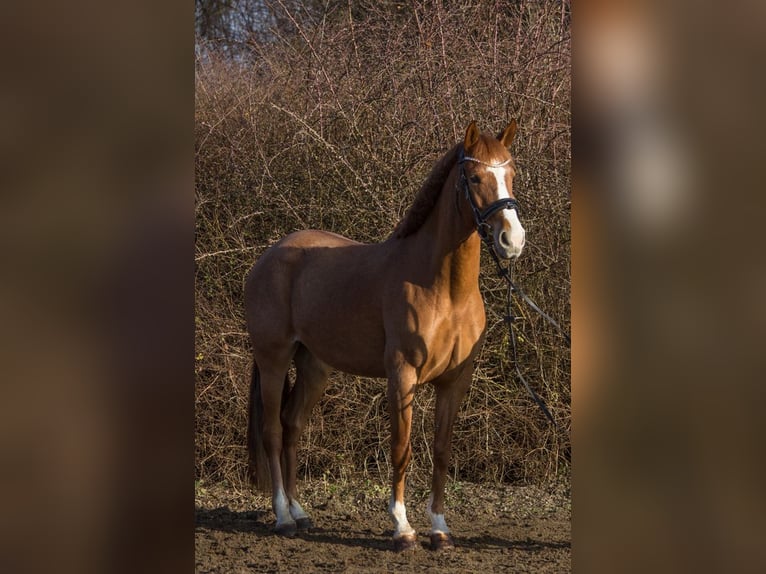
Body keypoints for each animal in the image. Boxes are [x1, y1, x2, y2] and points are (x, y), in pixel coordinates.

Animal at [246, 120, 528, 552]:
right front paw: (402, 528)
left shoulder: (454, 381)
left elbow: (442, 451)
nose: (512, 241)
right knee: (273, 432)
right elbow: (402, 449)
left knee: (292, 426)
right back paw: (283, 517)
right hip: (273, 359)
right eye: (475, 177)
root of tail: (270, 256)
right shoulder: (402, 375)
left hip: (314, 366)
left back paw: (300, 511)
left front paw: (439, 529)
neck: (445, 290)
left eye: (510, 175)